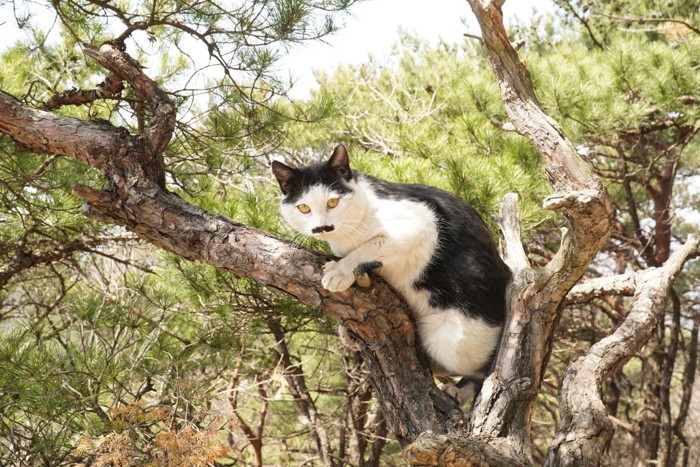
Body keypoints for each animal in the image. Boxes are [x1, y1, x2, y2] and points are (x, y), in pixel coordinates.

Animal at [272, 145, 508, 384]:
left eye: (332, 202)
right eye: (303, 208)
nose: (322, 227)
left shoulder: (422, 224)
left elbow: (370, 246)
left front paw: (340, 271)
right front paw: (346, 328)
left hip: (453, 341)